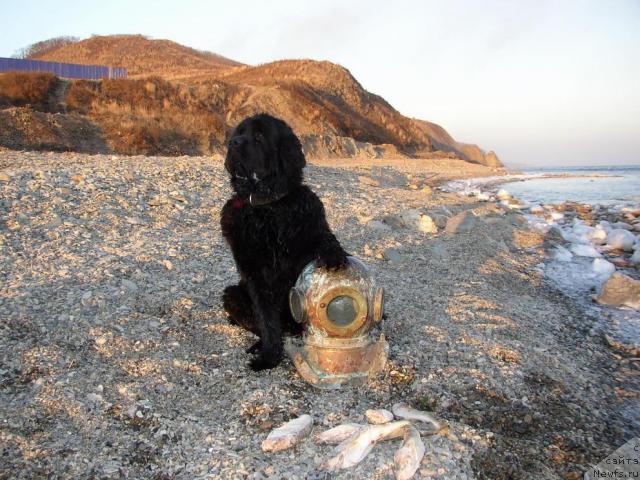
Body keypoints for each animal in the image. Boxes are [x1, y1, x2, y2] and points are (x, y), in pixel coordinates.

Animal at [221, 113, 350, 372]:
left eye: (259, 136)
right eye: (238, 133)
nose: (232, 143)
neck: (269, 206)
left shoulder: (311, 227)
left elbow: (325, 239)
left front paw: (335, 256)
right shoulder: (255, 275)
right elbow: (266, 319)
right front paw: (269, 357)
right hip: (232, 293)